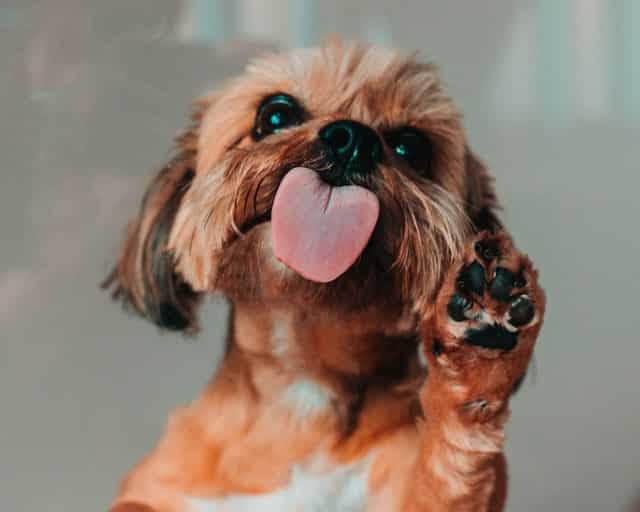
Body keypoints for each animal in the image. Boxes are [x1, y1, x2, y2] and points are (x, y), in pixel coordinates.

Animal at [105, 41, 544, 512]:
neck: (304, 382)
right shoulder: (159, 487)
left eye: (412, 146)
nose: (354, 138)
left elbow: (447, 468)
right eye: (275, 114)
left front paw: (483, 345)